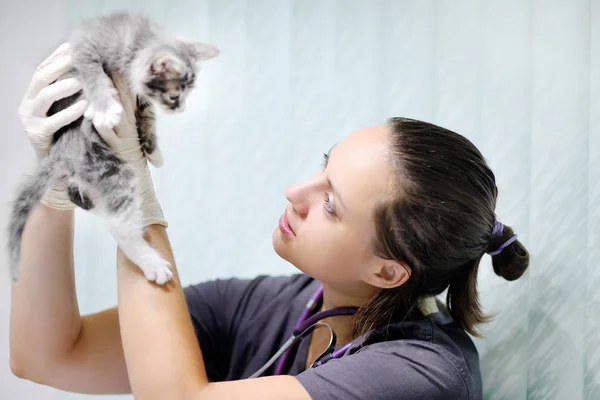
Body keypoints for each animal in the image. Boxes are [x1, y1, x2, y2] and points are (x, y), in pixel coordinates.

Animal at [8, 10, 219, 282]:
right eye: (174, 95)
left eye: (187, 93)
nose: (180, 107)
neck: (138, 39)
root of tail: (64, 147)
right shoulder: (84, 43)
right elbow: (91, 71)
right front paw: (106, 108)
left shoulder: (138, 94)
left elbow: (147, 113)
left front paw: (153, 151)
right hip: (110, 167)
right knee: (119, 226)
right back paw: (152, 263)